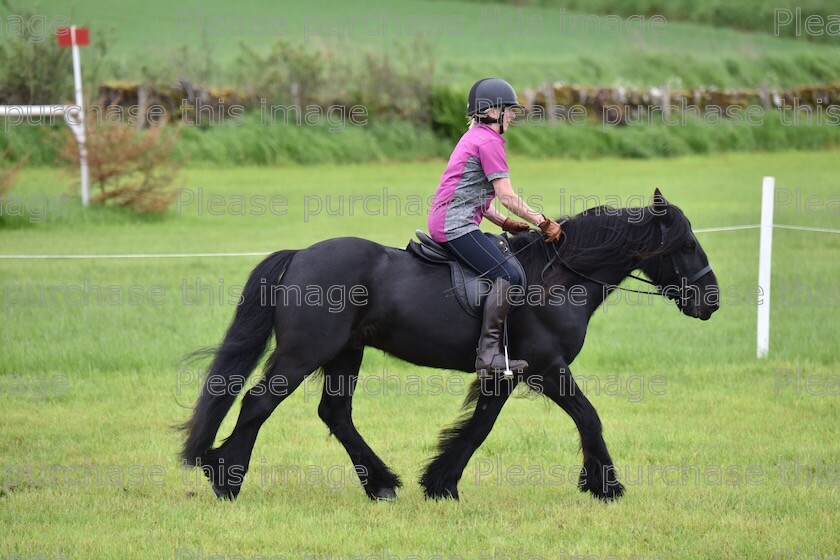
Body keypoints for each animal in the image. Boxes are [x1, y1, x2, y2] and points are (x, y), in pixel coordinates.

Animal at [180, 190, 720, 500]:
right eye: (688, 245)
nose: (711, 301)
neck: (559, 278)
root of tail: (300, 257)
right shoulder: (548, 366)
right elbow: (588, 416)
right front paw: (606, 487)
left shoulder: (508, 374)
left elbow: (479, 427)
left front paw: (440, 483)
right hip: (303, 354)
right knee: (257, 403)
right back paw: (225, 478)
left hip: (345, 354)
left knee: (334, 413)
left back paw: (381, 484)